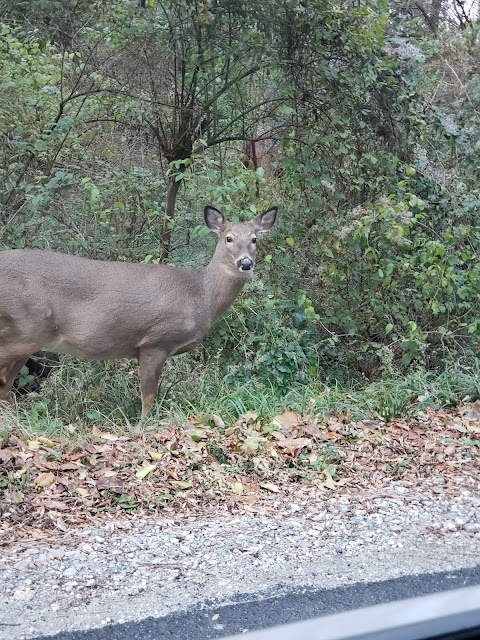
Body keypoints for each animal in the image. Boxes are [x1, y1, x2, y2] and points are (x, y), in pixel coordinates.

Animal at [0, 205, 278, 420]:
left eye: (254, 239)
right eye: (228, 238)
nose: (245, 263)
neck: (200, 295)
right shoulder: (155, 341)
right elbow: (149, 396)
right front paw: (142, 426)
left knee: (5, 386)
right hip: (25, 329)